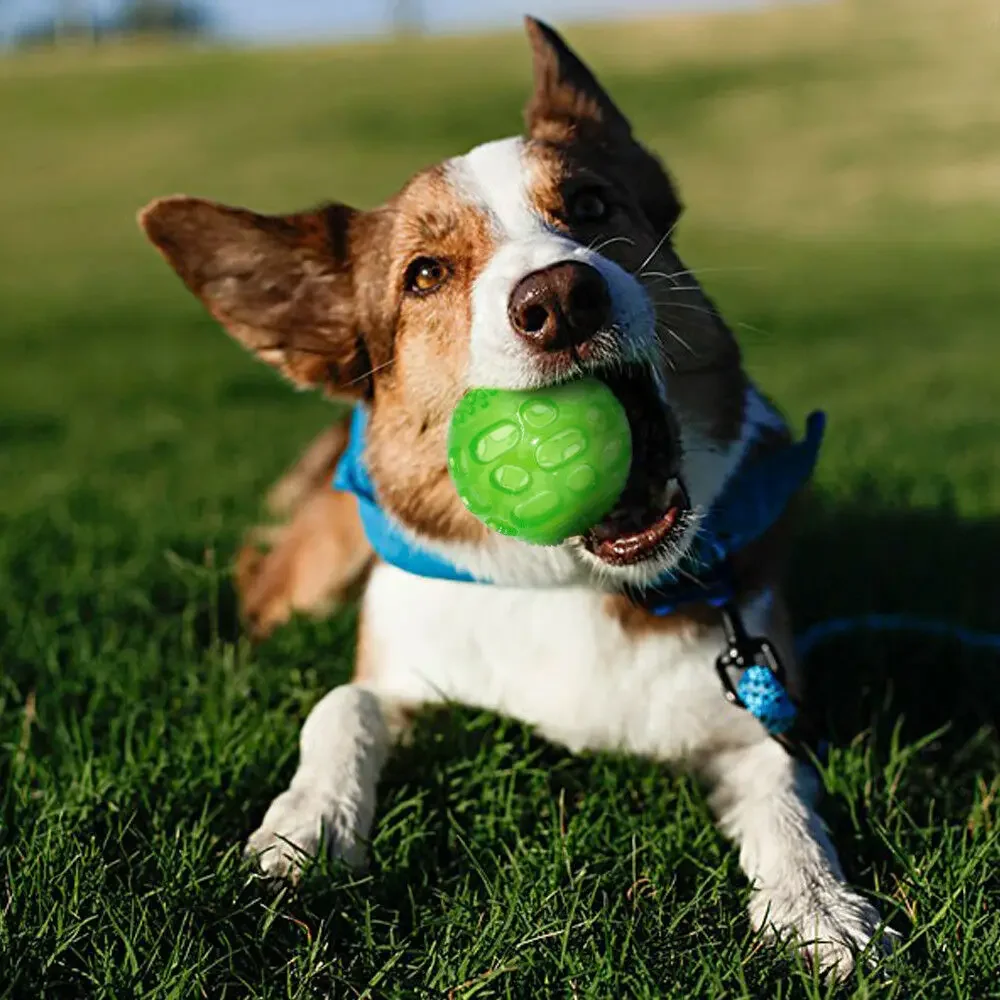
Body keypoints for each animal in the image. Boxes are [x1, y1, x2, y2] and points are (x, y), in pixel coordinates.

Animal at [141, 17, 892, 976]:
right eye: (425, 274)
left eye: (592, 207)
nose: (561, 298)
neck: (571, 580)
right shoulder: (399, 667)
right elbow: (342, 704)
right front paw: (308, 822)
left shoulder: (757, 706)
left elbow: (785, 797)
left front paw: (818, 904)